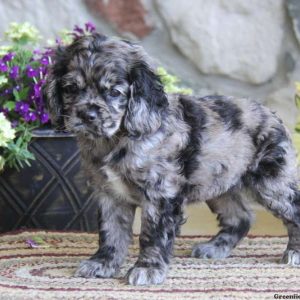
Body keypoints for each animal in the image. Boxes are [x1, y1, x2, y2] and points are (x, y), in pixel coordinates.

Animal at [44, 33, 300, 286]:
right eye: (70, 88)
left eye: (114, 92)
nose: (87, 115)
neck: (117, 139)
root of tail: (273, 115)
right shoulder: (110, 195)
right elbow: (111, 231)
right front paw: (102, 263)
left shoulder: (161, 194)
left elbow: (152, 234)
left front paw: (147, 269)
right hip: (220, 185)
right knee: (241, 217)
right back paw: (214, 248)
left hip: (271, 182)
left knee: (293, 209)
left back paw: (294, 252)